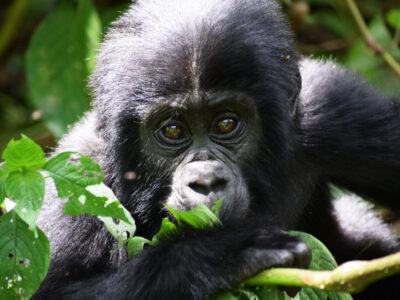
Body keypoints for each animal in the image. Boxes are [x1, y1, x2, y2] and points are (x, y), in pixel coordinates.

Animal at [33, 0, 400, 300]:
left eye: (225, 124)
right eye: (173, 130)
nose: (206, 182)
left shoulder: (331, 106)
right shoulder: (79, 172)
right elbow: (51, 291)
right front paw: (216, 256)